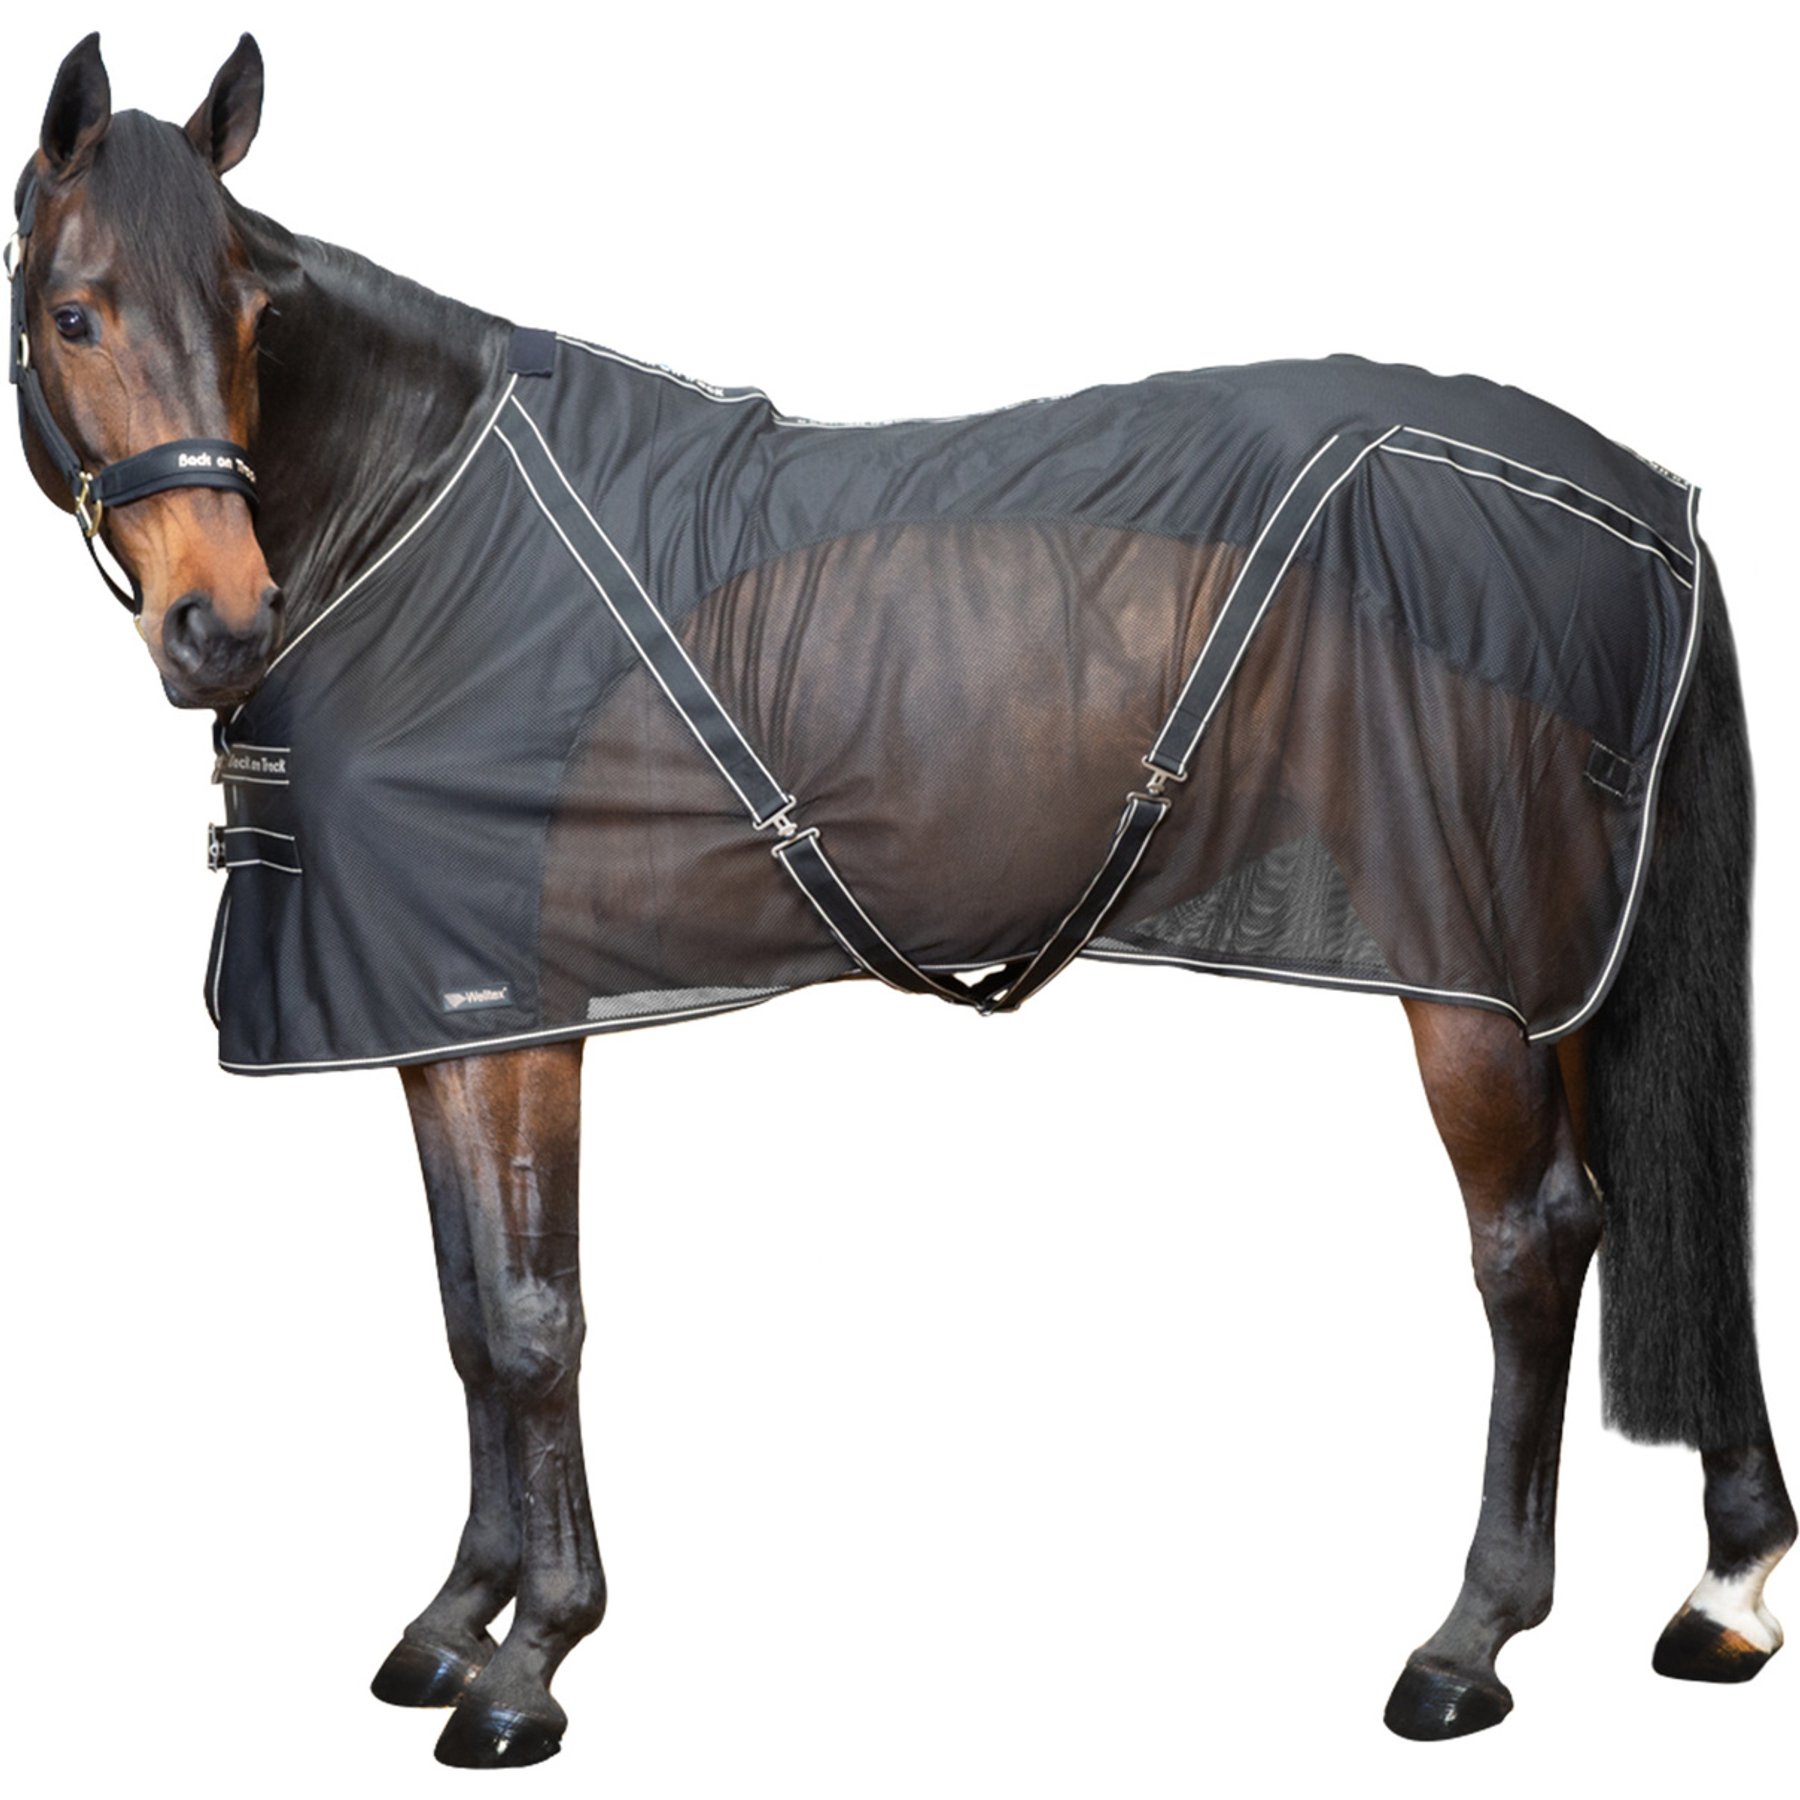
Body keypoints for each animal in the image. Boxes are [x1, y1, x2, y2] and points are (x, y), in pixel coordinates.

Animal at [10, 30, 1792, 1770]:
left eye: (255, 311)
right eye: (72, 311)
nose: (222, 623)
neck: (424, 519)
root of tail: (1645, 501)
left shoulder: (520, 1019)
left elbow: (531, 1320)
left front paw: (533, 1663)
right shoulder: (441, 1022)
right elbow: (464, 1315)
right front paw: (454, 1621)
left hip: (1462, 976)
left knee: (1532, 1242)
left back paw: (1468, 1643)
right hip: (1553, 967)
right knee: (1634, 1211)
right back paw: (1727, 1589)